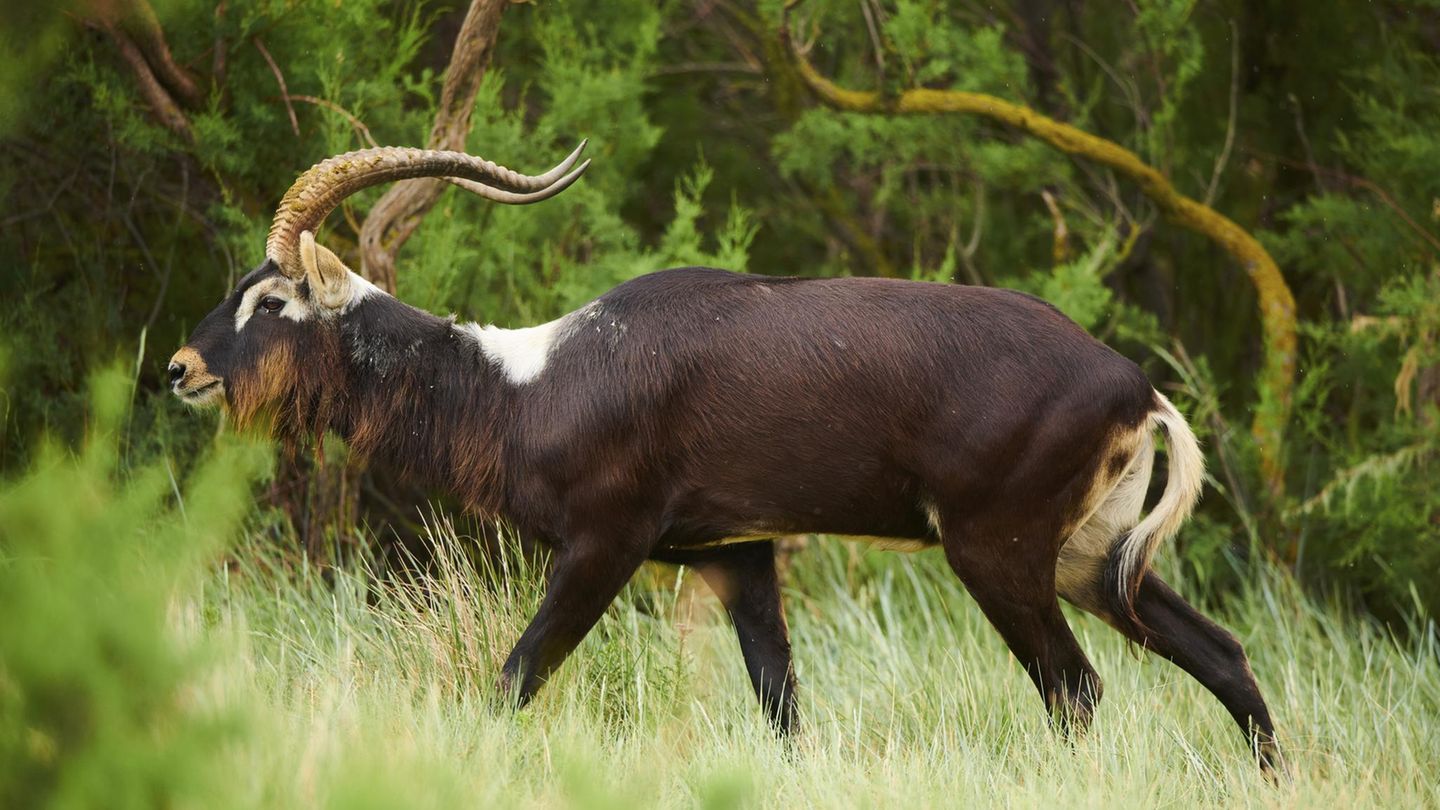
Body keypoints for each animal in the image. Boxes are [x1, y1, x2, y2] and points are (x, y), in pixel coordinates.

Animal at [168, 140, 1284, 766]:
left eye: (273, 301)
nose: (180, 368)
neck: (534, 383)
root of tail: (1136, 387)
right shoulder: (736, 555)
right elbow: (781, 709)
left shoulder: (605, 548)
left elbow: (514, 676)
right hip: (1092, 561)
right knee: (1221, 654)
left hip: (1000, 555)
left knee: (1076, 691)